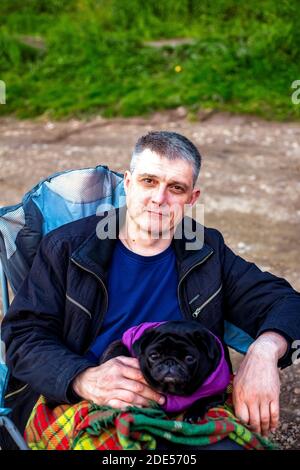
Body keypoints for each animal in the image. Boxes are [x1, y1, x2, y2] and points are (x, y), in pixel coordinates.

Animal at [99, 322, 229, 420]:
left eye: (189, 358)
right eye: (154, 356)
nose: (170, 362)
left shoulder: (219, 393)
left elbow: (203, 400)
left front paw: (193, 413)